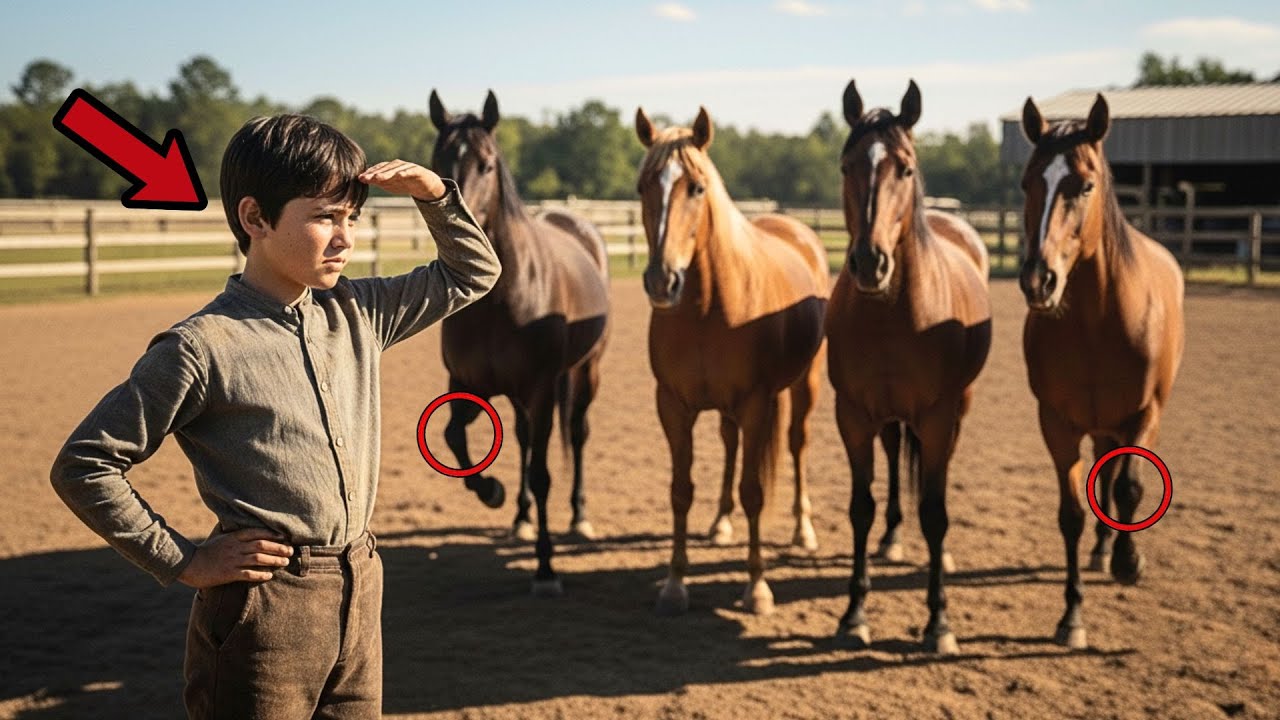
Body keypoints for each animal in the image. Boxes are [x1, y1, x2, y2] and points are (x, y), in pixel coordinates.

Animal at [428, 90, 611, 596]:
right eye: (438, 158)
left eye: (488, 164)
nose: (457, 227)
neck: (499, 300)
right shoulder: (466, 384)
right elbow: (453, 436)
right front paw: (493, 492)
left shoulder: (542, 388)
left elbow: (545, 473)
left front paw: (546, 568)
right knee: (525, 441)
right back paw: (522, 518)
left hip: (585, 374)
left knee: (577, 434)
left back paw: (579, 516)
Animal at [634, 106, 830, 615]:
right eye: (643, 186)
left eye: (696, 188)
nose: (662, 281)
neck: (708, 307)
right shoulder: (673, 406)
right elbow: (681, 490)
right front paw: (674, 582)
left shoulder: (757, 403)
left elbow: (754, 492)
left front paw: (757, 587)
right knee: (728, 443)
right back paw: (720, 523)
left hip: (806, 386)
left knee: (798, 445)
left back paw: (803, 530)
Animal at [826, 79, 992, 654]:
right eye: (846, 164)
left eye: (906, 167)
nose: (869, 262)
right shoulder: (853, 415)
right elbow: (860, 507)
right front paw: (854, 613)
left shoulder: (940, 419)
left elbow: (936, 513)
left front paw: (939, 622)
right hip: (889, 417)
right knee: (896, 459)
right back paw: (893, 538)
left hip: (956, 413)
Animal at [1019, 94, 1184, 649]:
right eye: (1027, 182)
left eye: (1084, 185)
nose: (1038, 279)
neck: (1098, 321)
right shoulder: (1057, 424)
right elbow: (1071, 512)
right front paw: (1072, 616)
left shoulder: (1144, 415)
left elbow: (1130, 488)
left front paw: (1129, 564)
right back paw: (1099, 548)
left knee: (1116, 480)